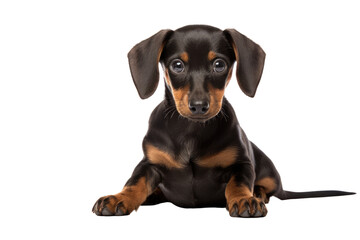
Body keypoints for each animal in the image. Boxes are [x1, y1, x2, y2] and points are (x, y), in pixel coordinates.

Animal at [92, 24, 354, 218]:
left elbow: (238, 183)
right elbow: (134, 182)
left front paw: (244, 199)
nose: (199, 106)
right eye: (177, 65)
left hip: (269, 173)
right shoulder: (149, 163)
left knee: (268, 188)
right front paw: (119, 198)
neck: (191, 130)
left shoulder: (241, 165)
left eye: (219, 64)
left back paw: (258, 194)